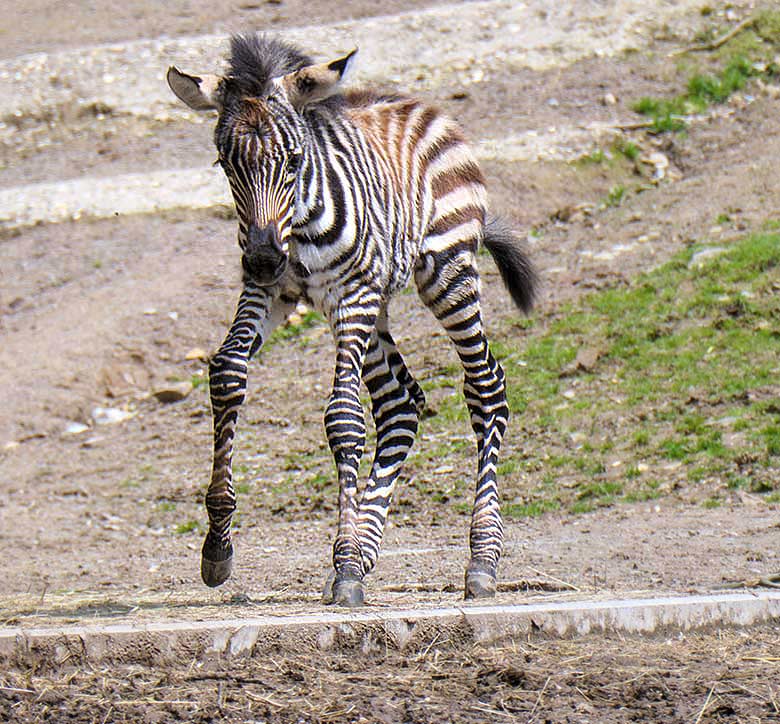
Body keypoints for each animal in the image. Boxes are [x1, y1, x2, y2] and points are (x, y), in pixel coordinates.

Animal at [168, 34, 536, 604]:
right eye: (225, 163)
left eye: (293, 160)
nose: (262, 259)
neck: (293, 228)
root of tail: (422, 106)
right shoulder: (270, 293)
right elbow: (227, 372)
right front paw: (218, 545)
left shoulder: (349, 294)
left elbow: (343, 418)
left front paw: (343, 569)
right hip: (372, 305)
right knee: (401, 403)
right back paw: (366, 550)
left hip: (443, 274)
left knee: (486, 387)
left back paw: (481, 559)